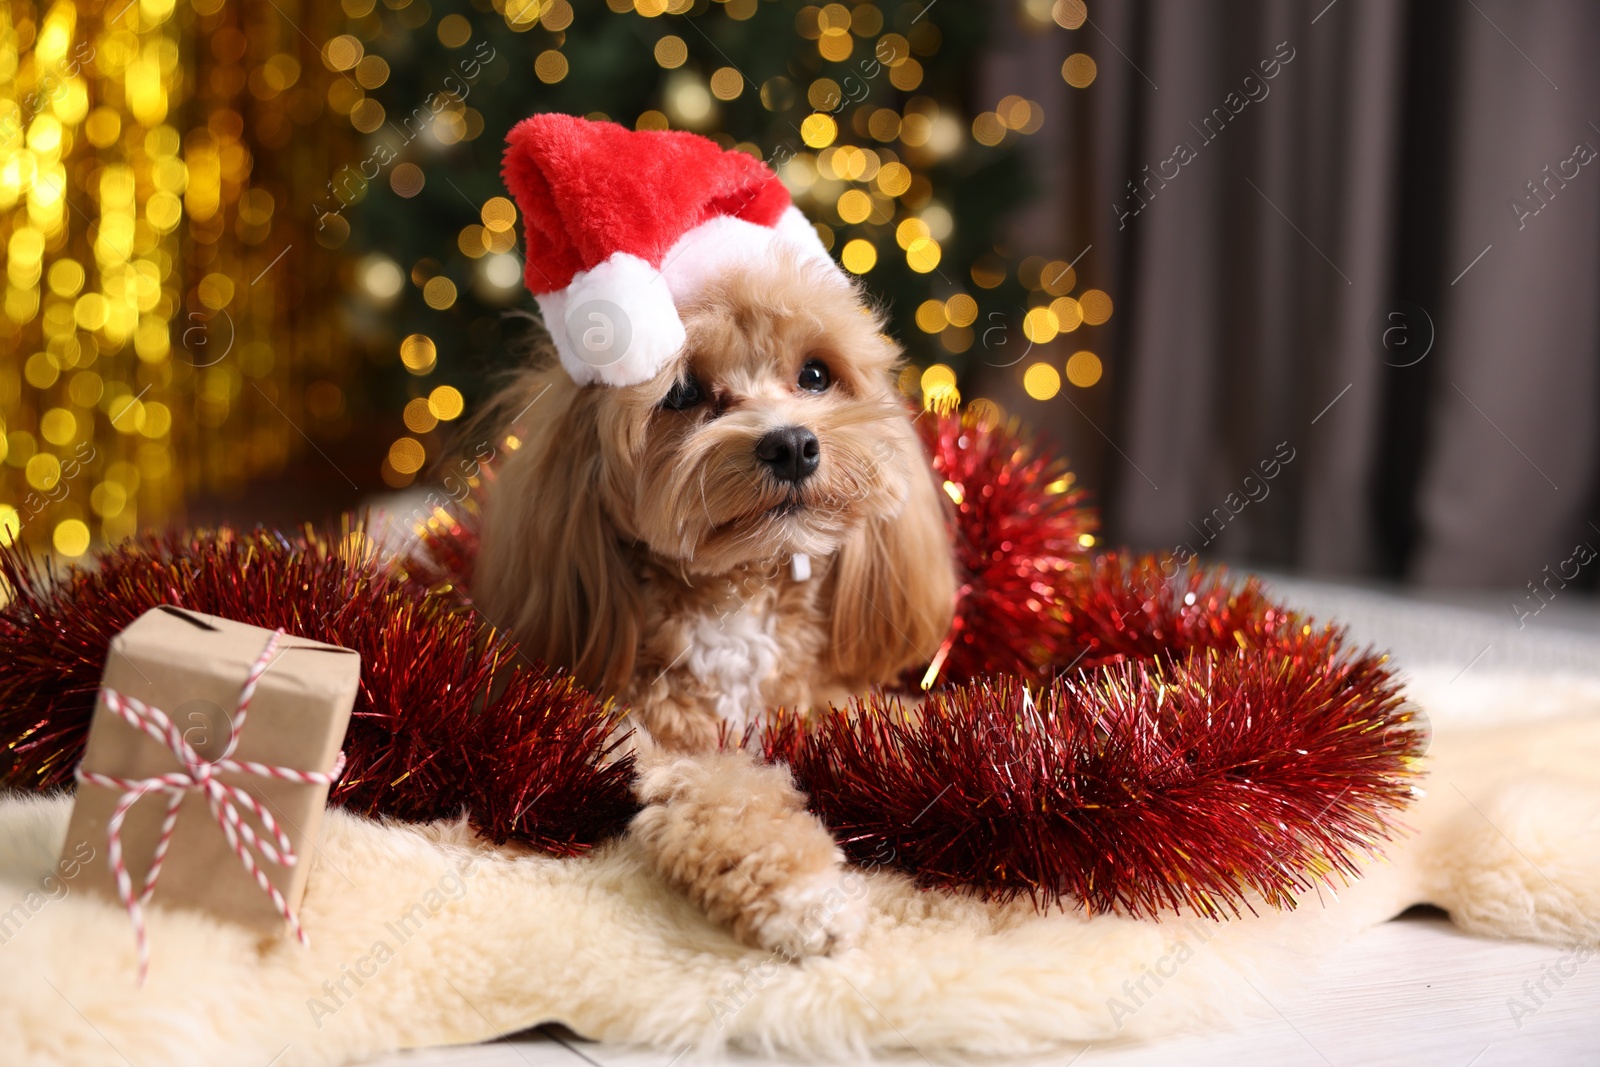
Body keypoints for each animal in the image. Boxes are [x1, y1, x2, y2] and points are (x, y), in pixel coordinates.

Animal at [470, 252, 947, 959]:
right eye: (682, 393)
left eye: (815, 374)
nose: (792, 445)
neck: (737, 599)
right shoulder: (655, 742)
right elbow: (728, 795)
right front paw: (806, 895)